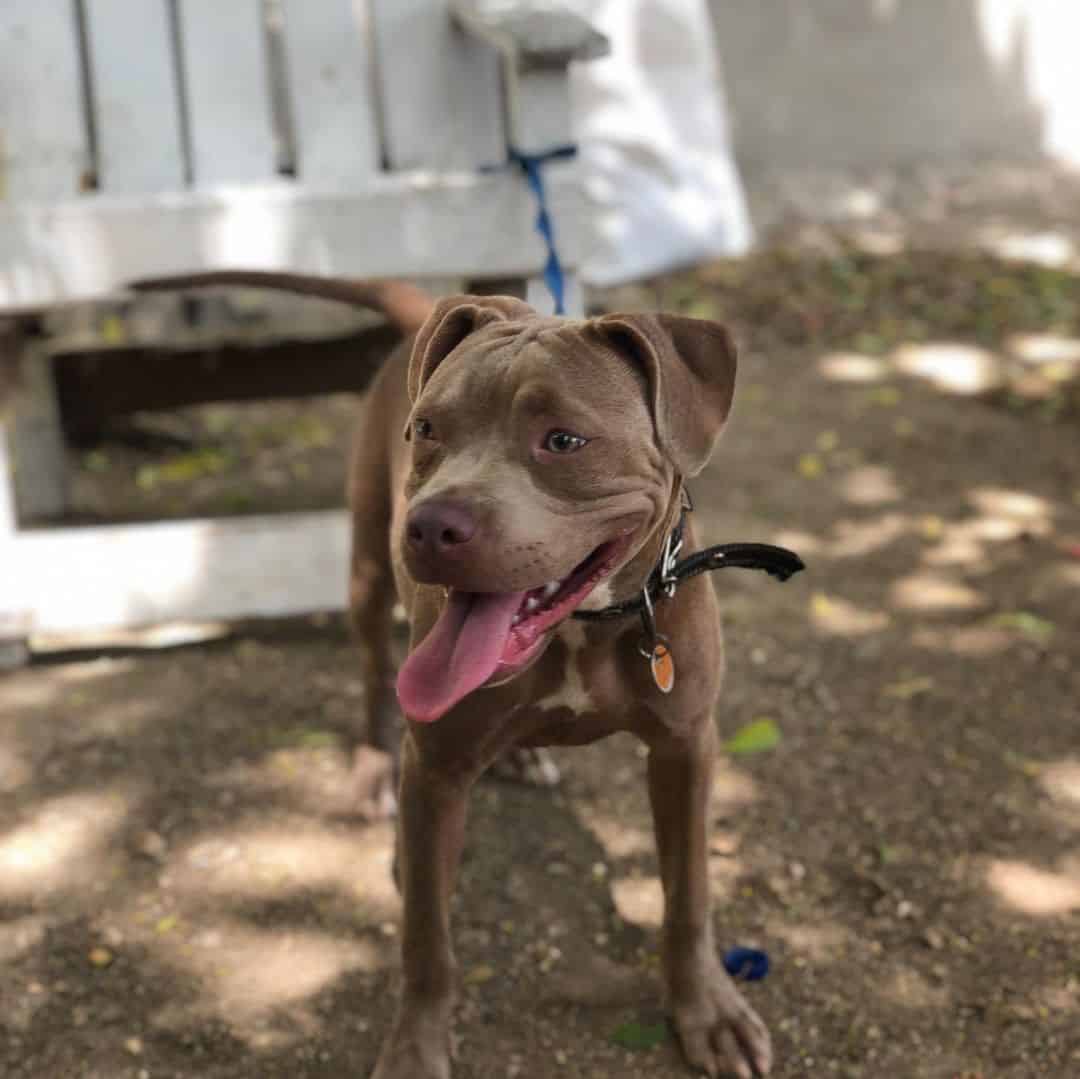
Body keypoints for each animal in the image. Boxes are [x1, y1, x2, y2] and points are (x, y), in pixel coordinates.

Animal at [132, 274, 777, 1075]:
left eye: (564, 440)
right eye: (428, 430)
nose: (431, 526)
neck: (580, 628)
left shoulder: (686, 747)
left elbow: (689, 893)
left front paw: (708, 1011)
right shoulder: (434, 770)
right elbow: (426, 936)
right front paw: (416, 1045)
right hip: (366, 572)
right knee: (375, 680)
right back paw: (372, 774)